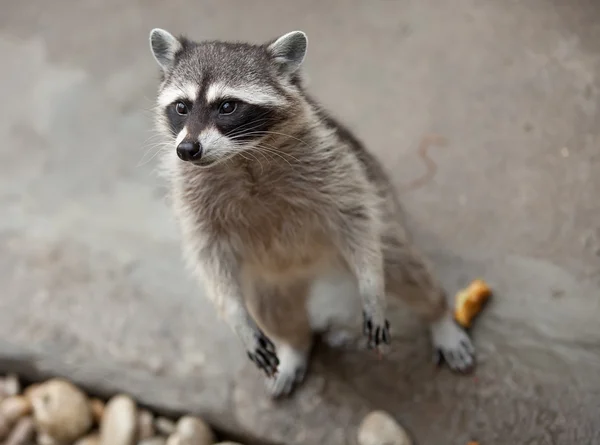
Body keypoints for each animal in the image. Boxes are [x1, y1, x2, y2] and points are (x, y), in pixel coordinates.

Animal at [149, 29, 474, 398]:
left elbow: (354, 212)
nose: (187, 149)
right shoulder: (192, 197)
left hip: (381, 220)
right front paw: (235, 315)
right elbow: (207, 256)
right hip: (268, 280)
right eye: (181, 107)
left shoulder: (328, 159)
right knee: (276, 314)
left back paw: (438, 316)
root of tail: (313, 267)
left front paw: (374, 289)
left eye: (227, 106)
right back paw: (295, 346)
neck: (240, 157)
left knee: (405, 270)